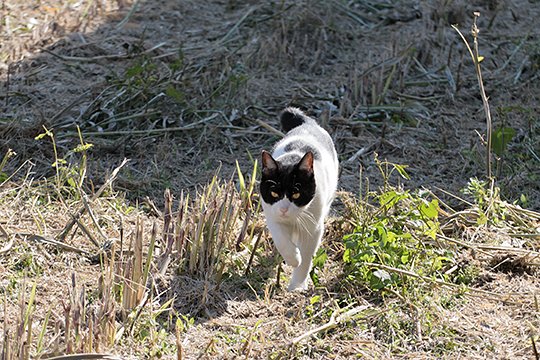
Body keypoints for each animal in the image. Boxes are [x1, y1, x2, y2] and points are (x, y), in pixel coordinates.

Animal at [260, 107, 338, 292]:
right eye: (274, 194)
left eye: (296, 194)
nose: (284, 209)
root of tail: (308, 124)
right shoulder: (272, 217)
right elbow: (282, 241)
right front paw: (293, 258)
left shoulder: (313, 228)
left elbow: (306, 257)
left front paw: (297, 286)